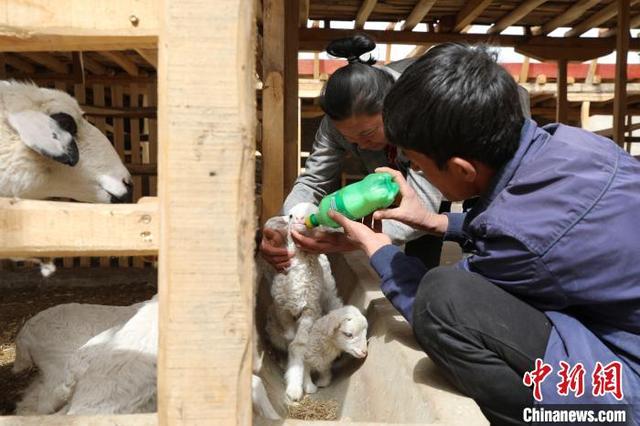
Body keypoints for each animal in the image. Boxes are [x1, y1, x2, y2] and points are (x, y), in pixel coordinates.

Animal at [262, 201, 344, 402]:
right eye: (291, 216)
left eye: (314, 217)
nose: (300, 219)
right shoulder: (281, 308)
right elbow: (289, 338)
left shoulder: (310, 311)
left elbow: (299, 346)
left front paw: (299, 386)